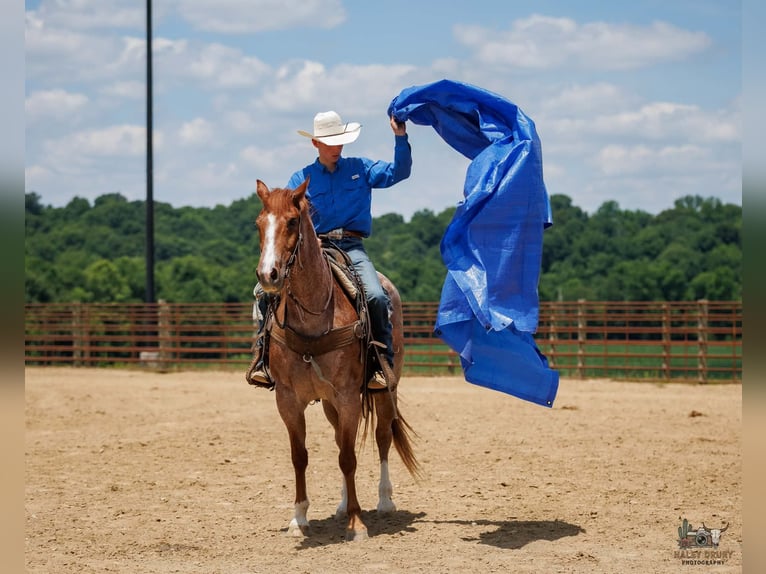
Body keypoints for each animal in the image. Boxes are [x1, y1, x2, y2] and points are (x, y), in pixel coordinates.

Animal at [253, 178, 419, 541]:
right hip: (331, 403)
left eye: (292, 221)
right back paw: (344, 504)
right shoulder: (288, 399)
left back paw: (384, 501)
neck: (315, 316)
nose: (268, 275)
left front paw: (357, 524)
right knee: (342, 440)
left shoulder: (347, 396)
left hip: (384, 390)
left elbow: (348, 457)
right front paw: (299, 518)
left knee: (382, 438)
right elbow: (301, 456)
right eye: (259, 223)